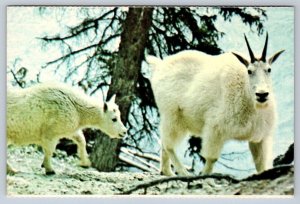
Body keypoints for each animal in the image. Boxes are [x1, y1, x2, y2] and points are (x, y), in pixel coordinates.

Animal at [146, 33, 284, 177]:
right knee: (169, 145)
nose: (262, 94)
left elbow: (261, 165)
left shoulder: (260, 138)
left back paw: (167, 172)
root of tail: (159, 65)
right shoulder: (215, 129)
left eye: (269, 69)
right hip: (172, 114)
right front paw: (204, 174)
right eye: (249, 71)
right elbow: (212, 158)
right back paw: (183, 173)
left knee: (164, 144)